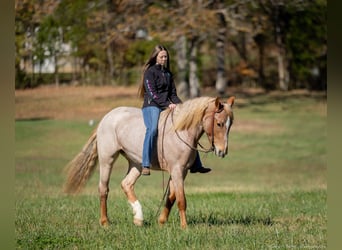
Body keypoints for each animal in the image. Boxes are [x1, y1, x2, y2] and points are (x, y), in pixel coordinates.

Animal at [63, 95, 235, 229]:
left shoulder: (181, 171)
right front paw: (184, 226)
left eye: (230, 125)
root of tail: (106, 118)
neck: (181, 132)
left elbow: (171, 196)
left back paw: (138, 218)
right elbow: (181, 199)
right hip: (107, 160)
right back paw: (105, 222)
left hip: (136, 164)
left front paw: (161, 221)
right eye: (219, 123)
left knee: (126, 184)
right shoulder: (177, 170)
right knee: (103, 189)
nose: (222, 151)